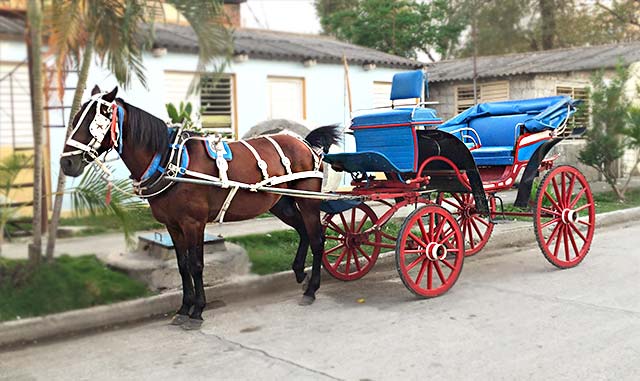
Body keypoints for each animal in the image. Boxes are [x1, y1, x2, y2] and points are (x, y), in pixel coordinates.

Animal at [61, 84, 340, 328]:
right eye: (75, 120)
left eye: (95, 122)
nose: (66, 164)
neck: (169, 161)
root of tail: (304, 143)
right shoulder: (173, 225)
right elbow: (183, 266)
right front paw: (184, 308)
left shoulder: (193, 223)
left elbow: (196, 265)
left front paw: (198, 311)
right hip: (281, 203)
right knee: (304, 232)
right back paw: (300, 274)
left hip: (308, 200)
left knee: (317, 238)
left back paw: (312, 289)